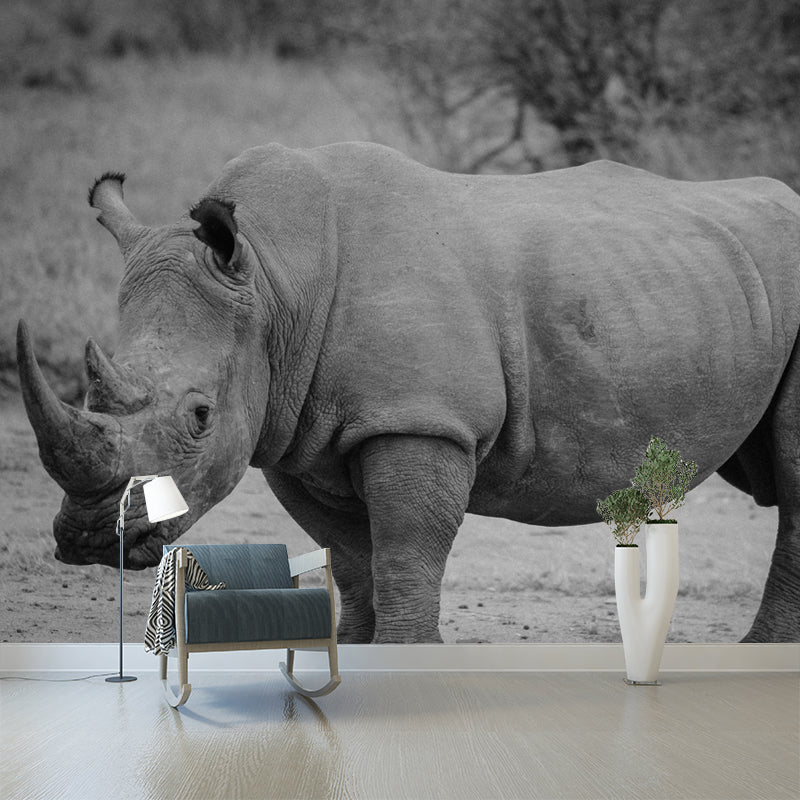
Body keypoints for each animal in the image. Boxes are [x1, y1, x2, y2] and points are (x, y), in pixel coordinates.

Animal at [17, 142, 800, 643]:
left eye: (200, 417)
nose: (91, 538)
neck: (273, 280)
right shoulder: (297, 435)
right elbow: (351, 558)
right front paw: (360, 657)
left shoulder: (420, 419)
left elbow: (404, 553)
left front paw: (407, 656)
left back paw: (760, 654)